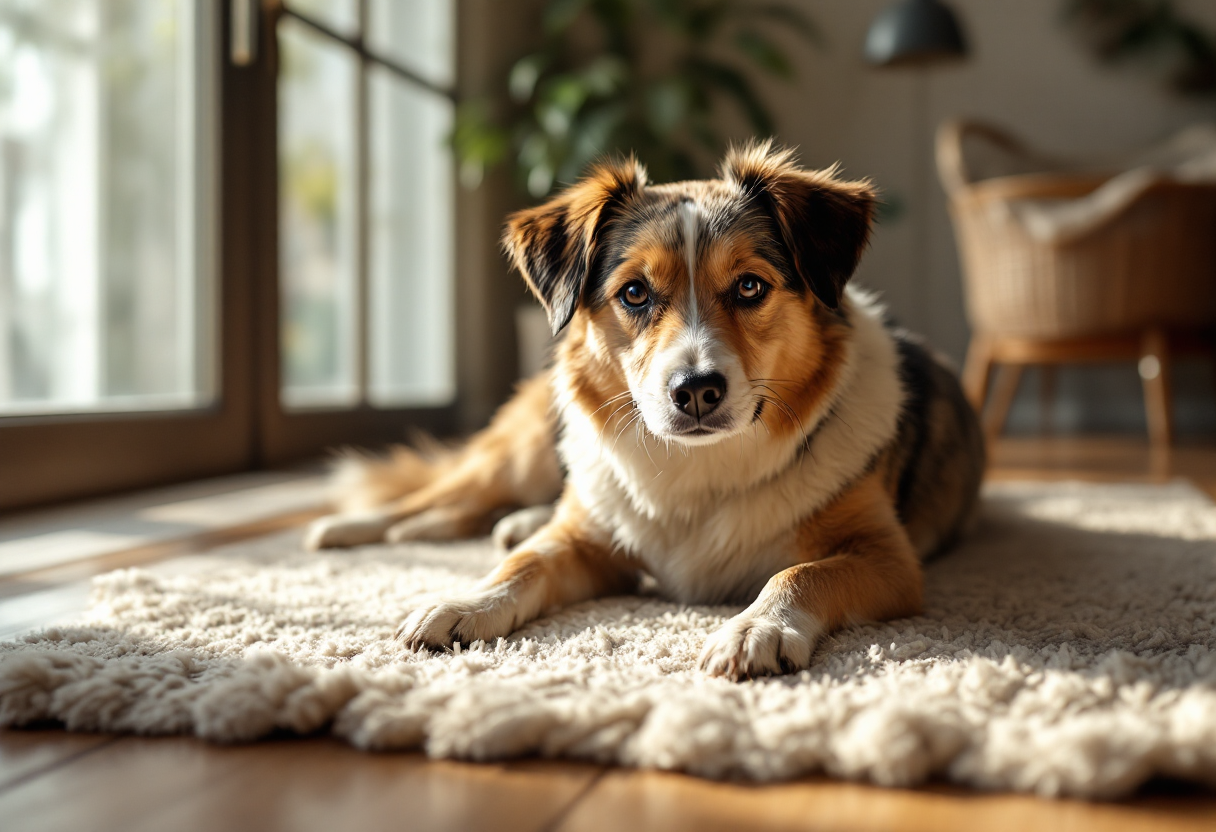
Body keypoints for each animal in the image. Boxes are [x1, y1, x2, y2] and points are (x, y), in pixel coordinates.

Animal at [306, 139, 987, 681]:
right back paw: (350, 527)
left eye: (750, 286)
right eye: (634, 292)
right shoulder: (586, 542)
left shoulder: (889, 560)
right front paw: (464, 604)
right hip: (524, 452)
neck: (699, 465)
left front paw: (756, 628)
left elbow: (800, 572)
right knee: (438, 495)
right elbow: (527, 563)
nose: (696, 390)